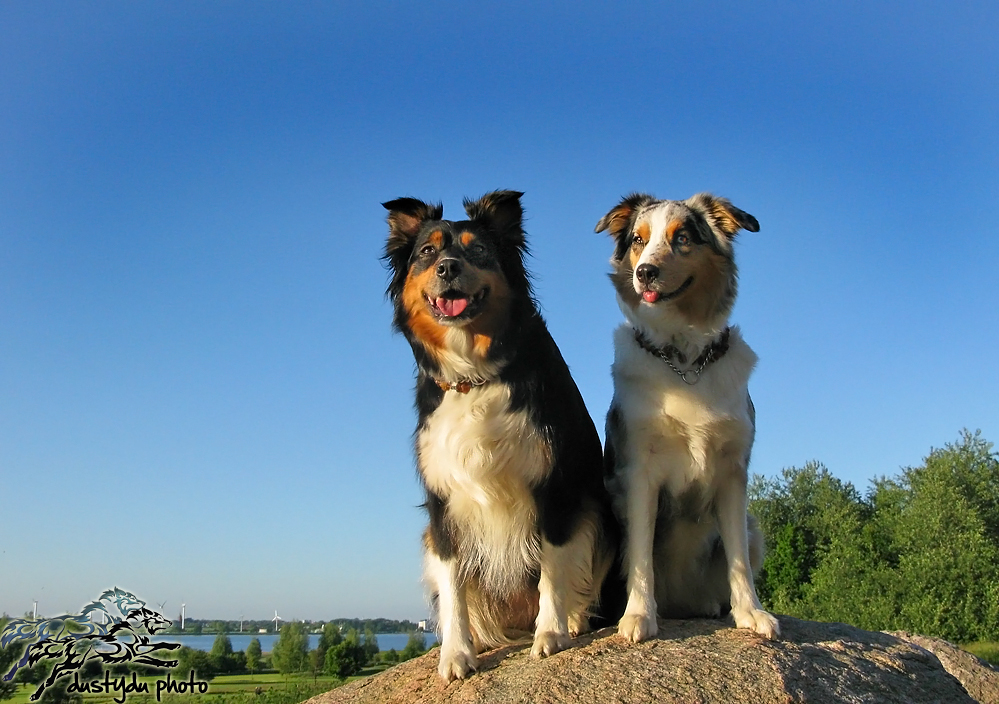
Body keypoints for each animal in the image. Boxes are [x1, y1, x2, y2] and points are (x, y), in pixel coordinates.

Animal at [382, 190, 616, 680]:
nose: (448, 268)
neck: (475, 375)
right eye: (427, 252)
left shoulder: (555, 486)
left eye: (479, 251)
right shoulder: (443, 503)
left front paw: (551, 634)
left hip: (598, 511)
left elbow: (553, 568)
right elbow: (453, 586)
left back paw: (573, 621)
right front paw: (456, 654)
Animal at [596, 192, 776, 644]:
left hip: (754, 527)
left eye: (682, 238)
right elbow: (641, 556)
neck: (685, 360)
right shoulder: (639, 472)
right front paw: (639, 616)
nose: (645, 272)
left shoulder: (733, 472)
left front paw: (750, 613)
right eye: (639, 240)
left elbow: (737, 558)